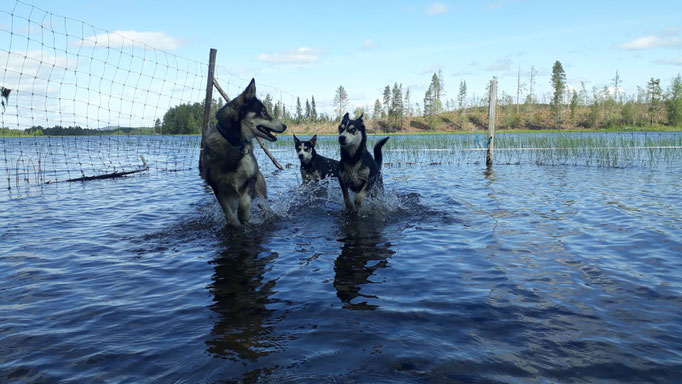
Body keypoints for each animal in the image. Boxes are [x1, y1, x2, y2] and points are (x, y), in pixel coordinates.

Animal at [201, 79, 288, 226]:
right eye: (264, 112)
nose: (285, 126)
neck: (233, 142)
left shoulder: (250, 179)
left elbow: (244, 201)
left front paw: (243, 216)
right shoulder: (216, 187)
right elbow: (227, 210)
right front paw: (234, 222)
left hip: (260, 193)